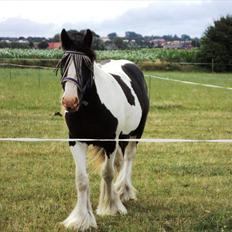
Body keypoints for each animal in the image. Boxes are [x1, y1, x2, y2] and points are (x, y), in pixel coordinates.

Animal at [57, 29, 150, 230]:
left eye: (86, 65)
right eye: (63, 63)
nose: (69, 101)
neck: (91, 108)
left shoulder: (110, 143)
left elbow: (107, 173)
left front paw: (111, 207)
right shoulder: (76, 141)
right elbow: (81, 179)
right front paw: (81, 219)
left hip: (134, 134)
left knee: (128, 158)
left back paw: (124, 191)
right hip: (121, 138)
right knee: (120, 161)